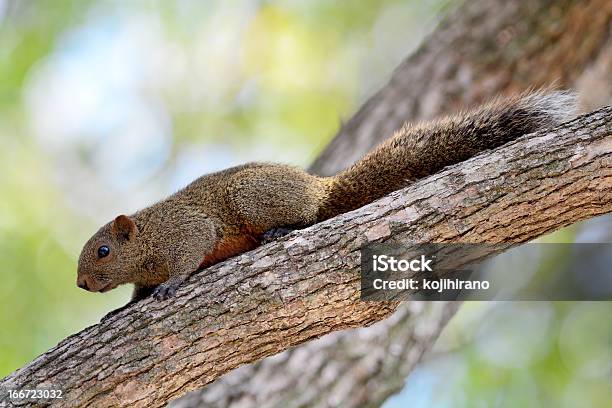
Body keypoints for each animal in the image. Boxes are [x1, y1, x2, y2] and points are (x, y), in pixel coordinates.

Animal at [76, 91, 580, 302]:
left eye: (103, 251)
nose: (81, 284)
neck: (148, 240)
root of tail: (319, 185)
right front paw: (131, 300)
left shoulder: (186, 230)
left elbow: (190, 253)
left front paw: (170, 285)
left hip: (253, 196)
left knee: (310, 216)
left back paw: (282, 228)